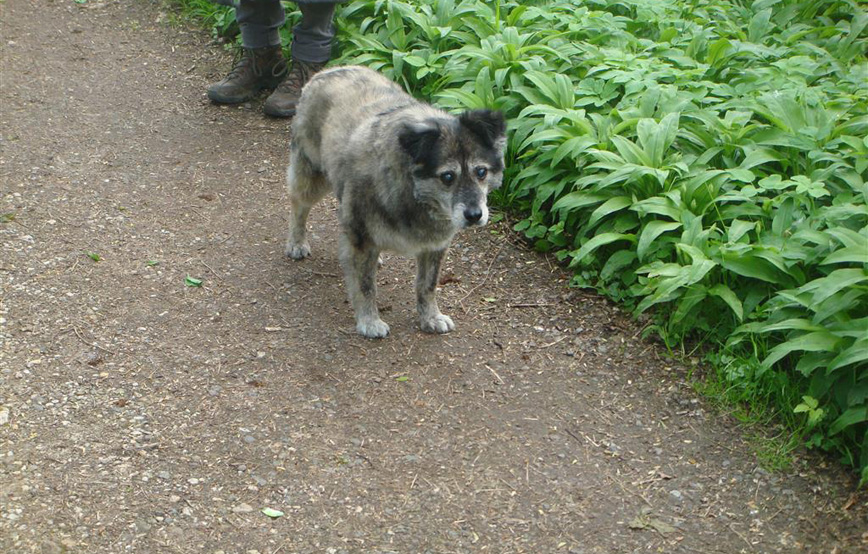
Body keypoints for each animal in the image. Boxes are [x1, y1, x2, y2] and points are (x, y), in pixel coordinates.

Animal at [284, 63, 506, 336]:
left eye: (481, 172)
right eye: (447, 176)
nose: (474, 215)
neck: (415, 195)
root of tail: (329, 70)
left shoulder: (434, 246)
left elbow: (427, 285)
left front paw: (431, 317)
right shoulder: (361, 238)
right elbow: (366, 286)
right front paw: (369, 321)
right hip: (311, 176)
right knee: (298, 207)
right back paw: (296, 242)